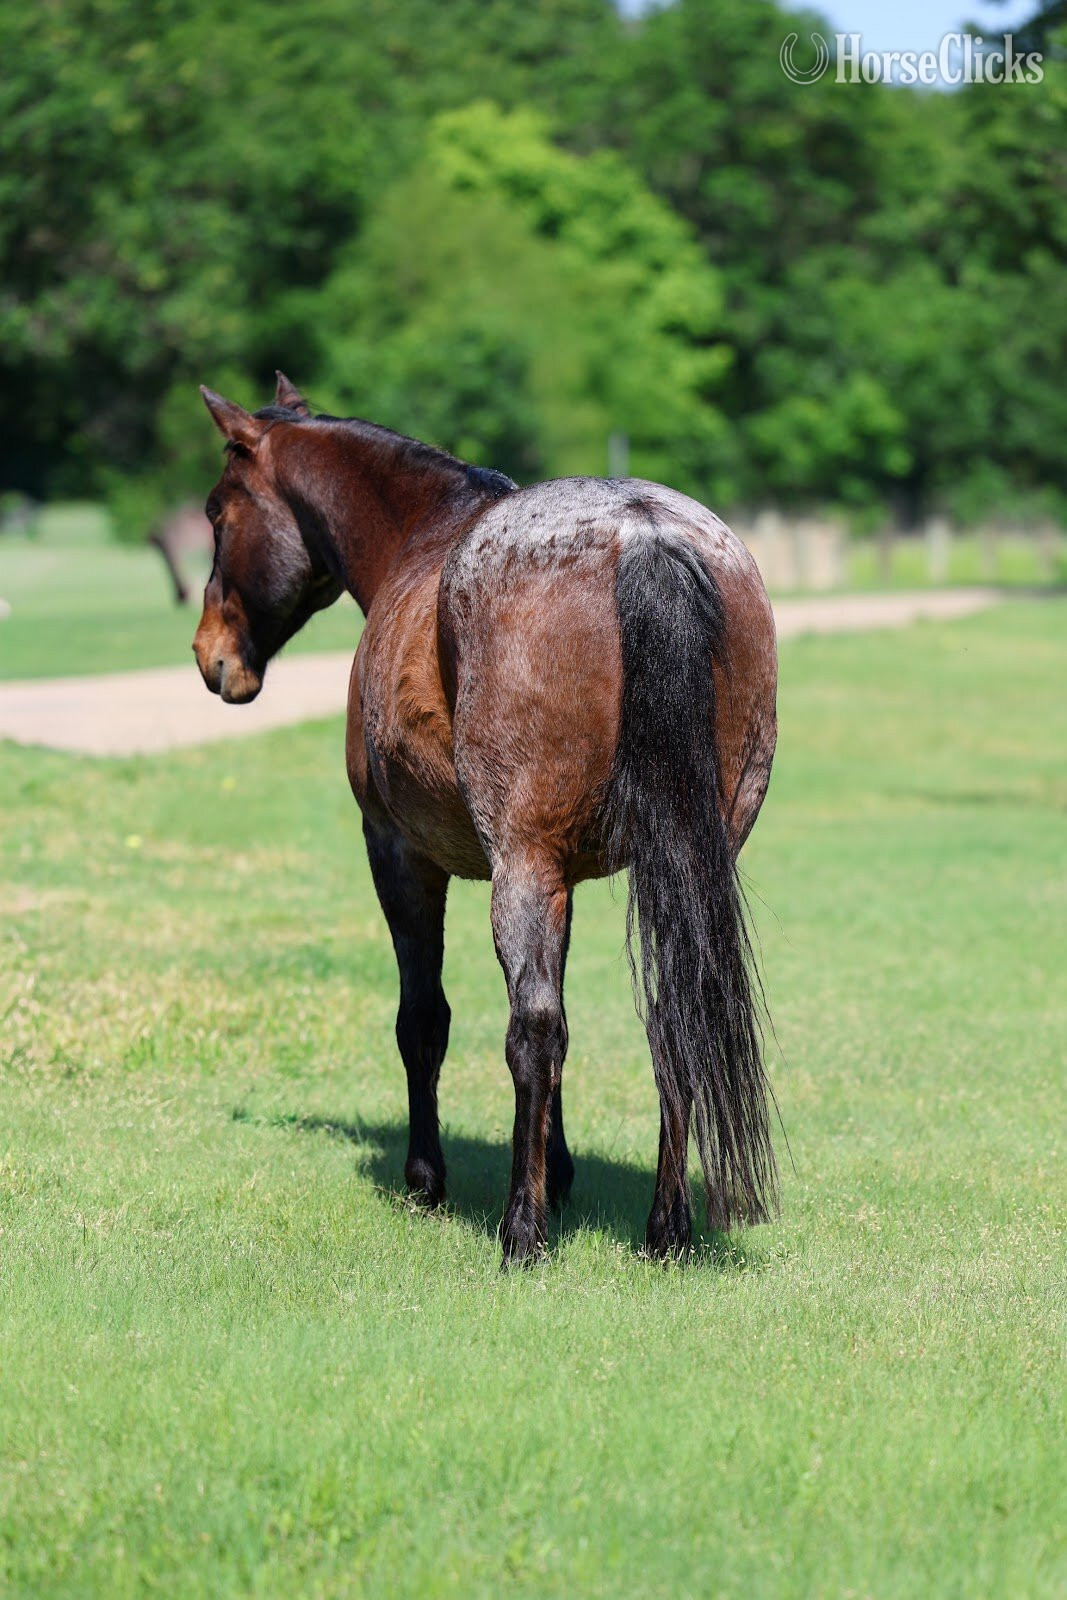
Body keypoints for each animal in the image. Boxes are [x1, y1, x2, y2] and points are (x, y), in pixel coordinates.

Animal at [193, 373, 779, 1264]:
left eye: (217, 514)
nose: (211, 656)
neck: (421, 535)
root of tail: (644, 533)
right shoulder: (566, 876)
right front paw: (559, 1171)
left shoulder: (402, 855)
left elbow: (426, 1021)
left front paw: (428, 1180)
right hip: (683, 856)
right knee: (670, 1014)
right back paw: (665, 1229)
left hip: (519, 862)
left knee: (529, 1030)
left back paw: (520, 1231)